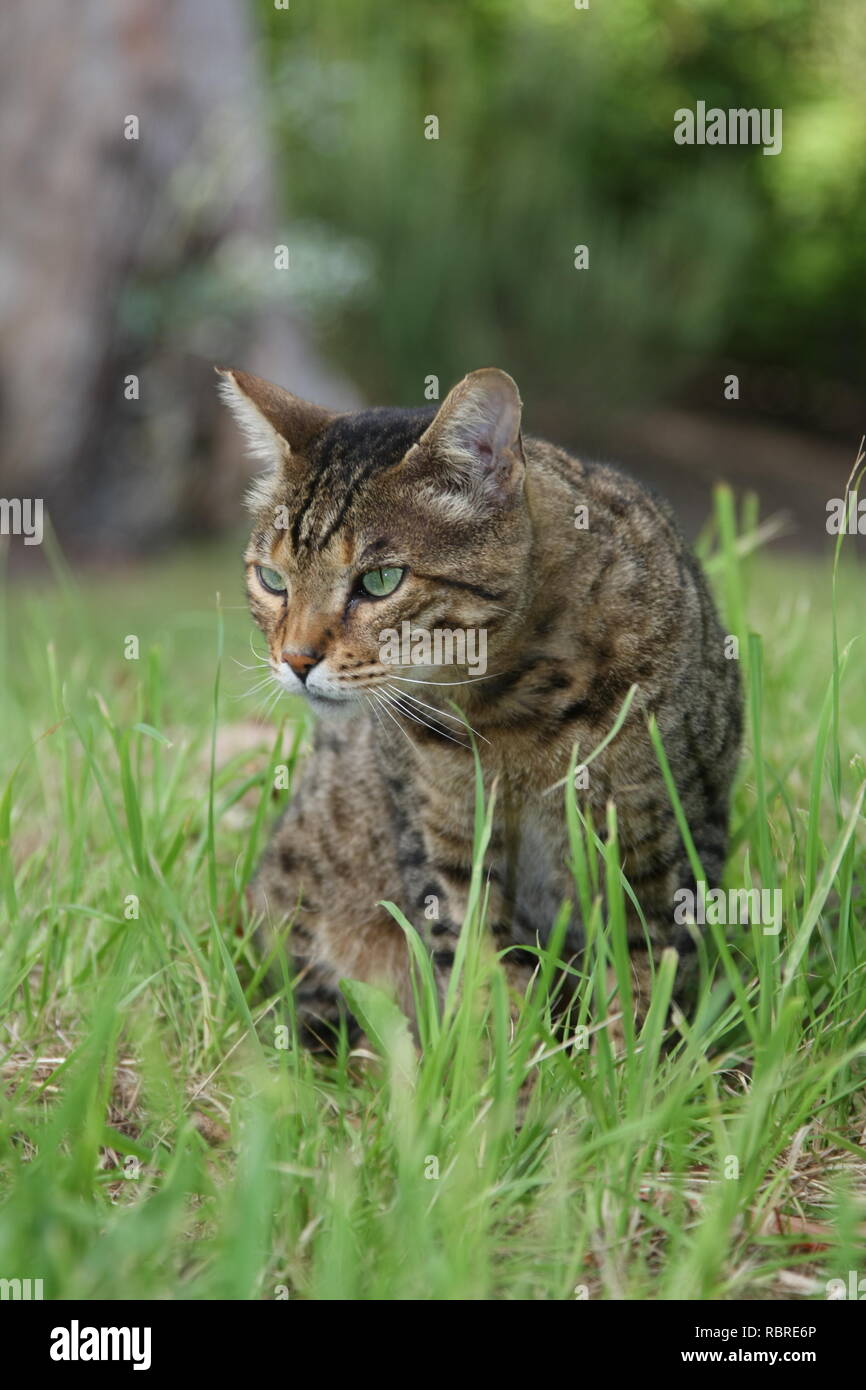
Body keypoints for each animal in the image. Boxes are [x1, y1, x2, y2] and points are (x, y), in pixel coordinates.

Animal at [219, 364, 739, 1045]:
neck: (514, 703)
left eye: (379, 581)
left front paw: (631, 1064)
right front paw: (510, 1064)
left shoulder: (662, 839)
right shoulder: (446, 845)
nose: (296, 660)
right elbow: (484, 969)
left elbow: (648, 972)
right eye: (272, 580)